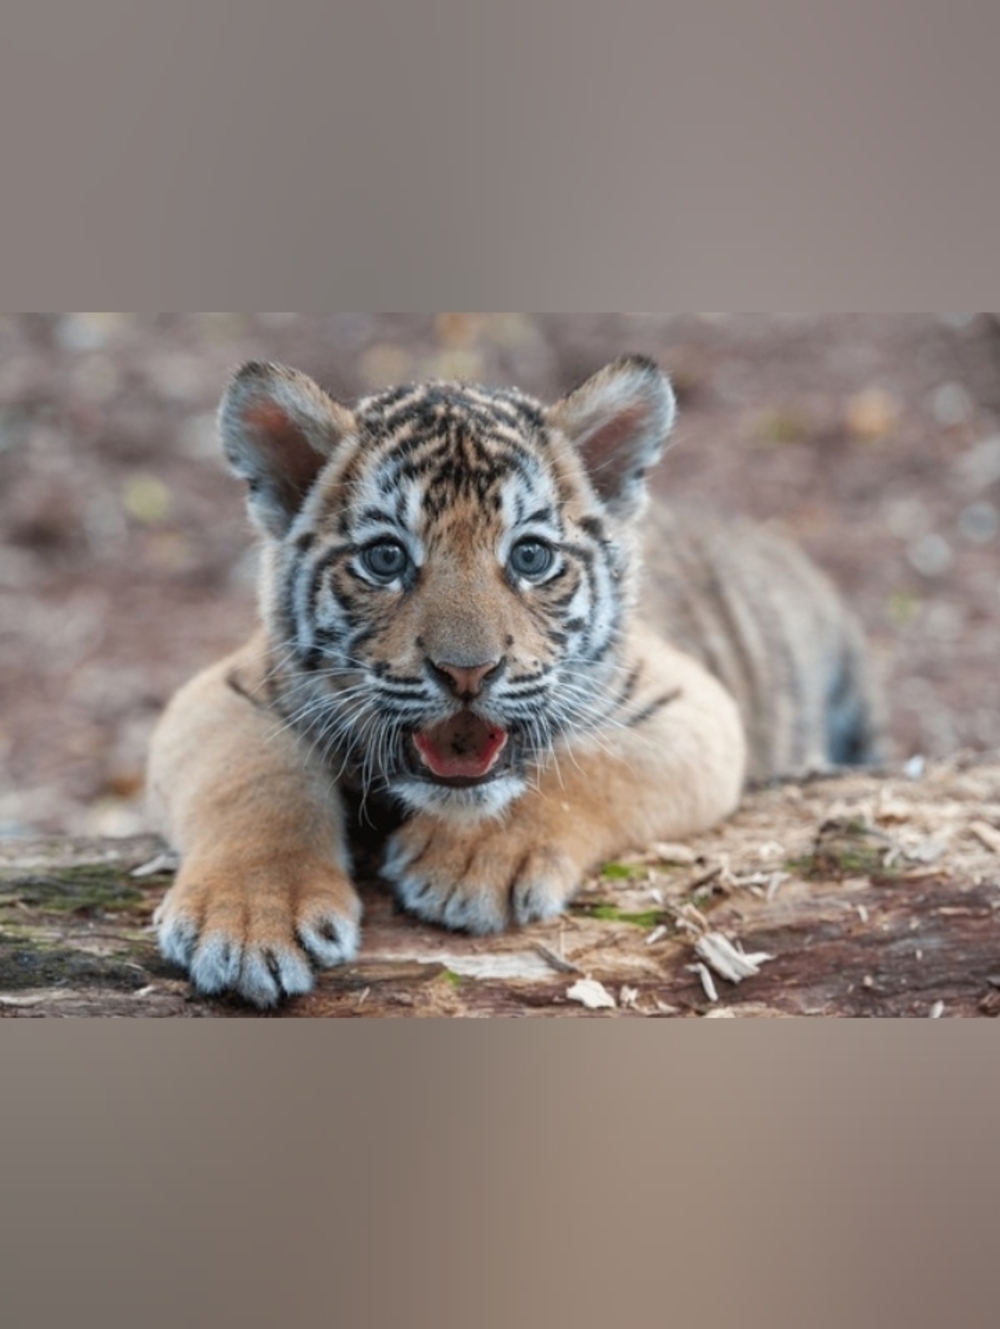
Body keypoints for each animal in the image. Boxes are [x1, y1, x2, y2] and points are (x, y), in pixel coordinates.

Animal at [147, 356, 882, 1006]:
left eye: (529, 556)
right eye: (385, 558)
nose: (467, 671)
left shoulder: (688, 703)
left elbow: (589, 766)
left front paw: (472, 862)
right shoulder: (225, 691)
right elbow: (253, 781)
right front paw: (249, 920)